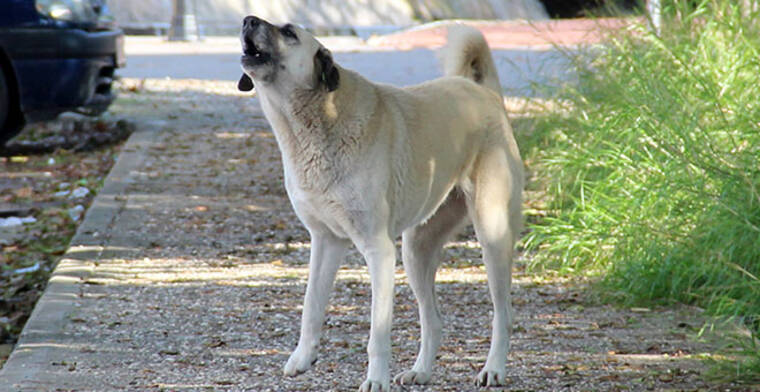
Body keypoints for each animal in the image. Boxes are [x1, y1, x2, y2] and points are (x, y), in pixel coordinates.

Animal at [238, 16, 524, 392]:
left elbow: (378, 332)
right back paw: (421, 371)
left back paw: (493, 369)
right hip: (416, 251)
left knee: (503, 314)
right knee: (433, 319)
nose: (247, 20)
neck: (318, 120)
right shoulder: (325, 242)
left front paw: (375, 378)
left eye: (289, 32)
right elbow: (311, 306)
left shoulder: (378, 250)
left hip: (492, 235)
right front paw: (302, 358)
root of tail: (485, 94)